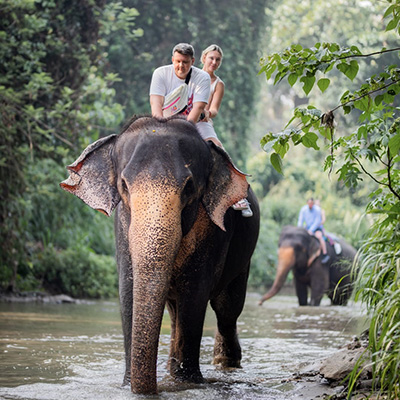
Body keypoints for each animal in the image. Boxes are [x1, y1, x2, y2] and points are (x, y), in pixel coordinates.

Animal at [59, 115, 260, 394]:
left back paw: (224, 363)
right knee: (177, 312)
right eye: (124, 185)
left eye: (189, 187)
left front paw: (188, 383)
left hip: (243, 259)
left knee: (227, 309)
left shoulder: (212, 233)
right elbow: (128, 291)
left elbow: (195, 295)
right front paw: (129, 385)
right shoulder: (122, 228)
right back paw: (171, 368)